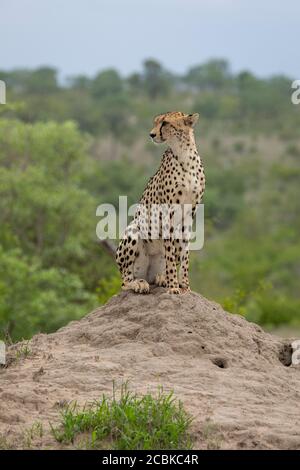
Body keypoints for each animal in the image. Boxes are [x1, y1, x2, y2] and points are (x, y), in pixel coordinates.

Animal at [116, 111, 205, 294]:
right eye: (156, 122)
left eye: (165, 123)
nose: (151, 134)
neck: (183, 153)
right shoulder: (168, 213)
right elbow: (170, 255)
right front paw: (173, 287)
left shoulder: (190, 213)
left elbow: (184, 254)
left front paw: (185, 285)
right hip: (134, 229)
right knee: (125, 280)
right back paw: (138, 283)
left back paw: (161, 278)